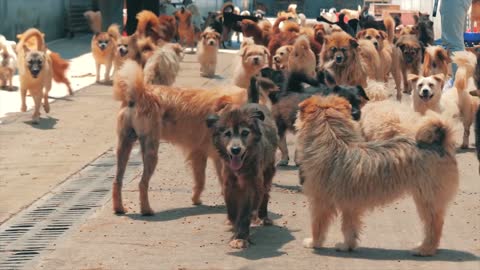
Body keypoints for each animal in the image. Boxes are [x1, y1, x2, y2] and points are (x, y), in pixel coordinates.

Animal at [112, 59, 248, 215]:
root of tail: (140, 93)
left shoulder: (211, 156)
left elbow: (212, 180)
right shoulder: (203, 155)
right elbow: (203, 180)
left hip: (124, 146)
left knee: (117, 180)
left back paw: (119, 208)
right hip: (151, 150)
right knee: (142, 183)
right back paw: (146, 210)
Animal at [206, 103, 278, 249]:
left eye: (245, 133)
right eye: (227, 134)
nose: (235, 150)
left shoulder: (252, 185)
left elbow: (245, 213)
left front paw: (240, 237)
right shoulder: (229, 185)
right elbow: (233, 211)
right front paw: (235, 226)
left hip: (267, 172)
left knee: (265, 194)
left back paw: (263, 217)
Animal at [298, 95, 460, 258]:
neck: (334, 140)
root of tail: (439, 143)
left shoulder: (320, 202)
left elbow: (317, 225)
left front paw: (314, 242)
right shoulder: (349, 204)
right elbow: (349, 228)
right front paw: (347, 245)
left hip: (427, 199)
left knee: (434, 225)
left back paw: (425, 249)